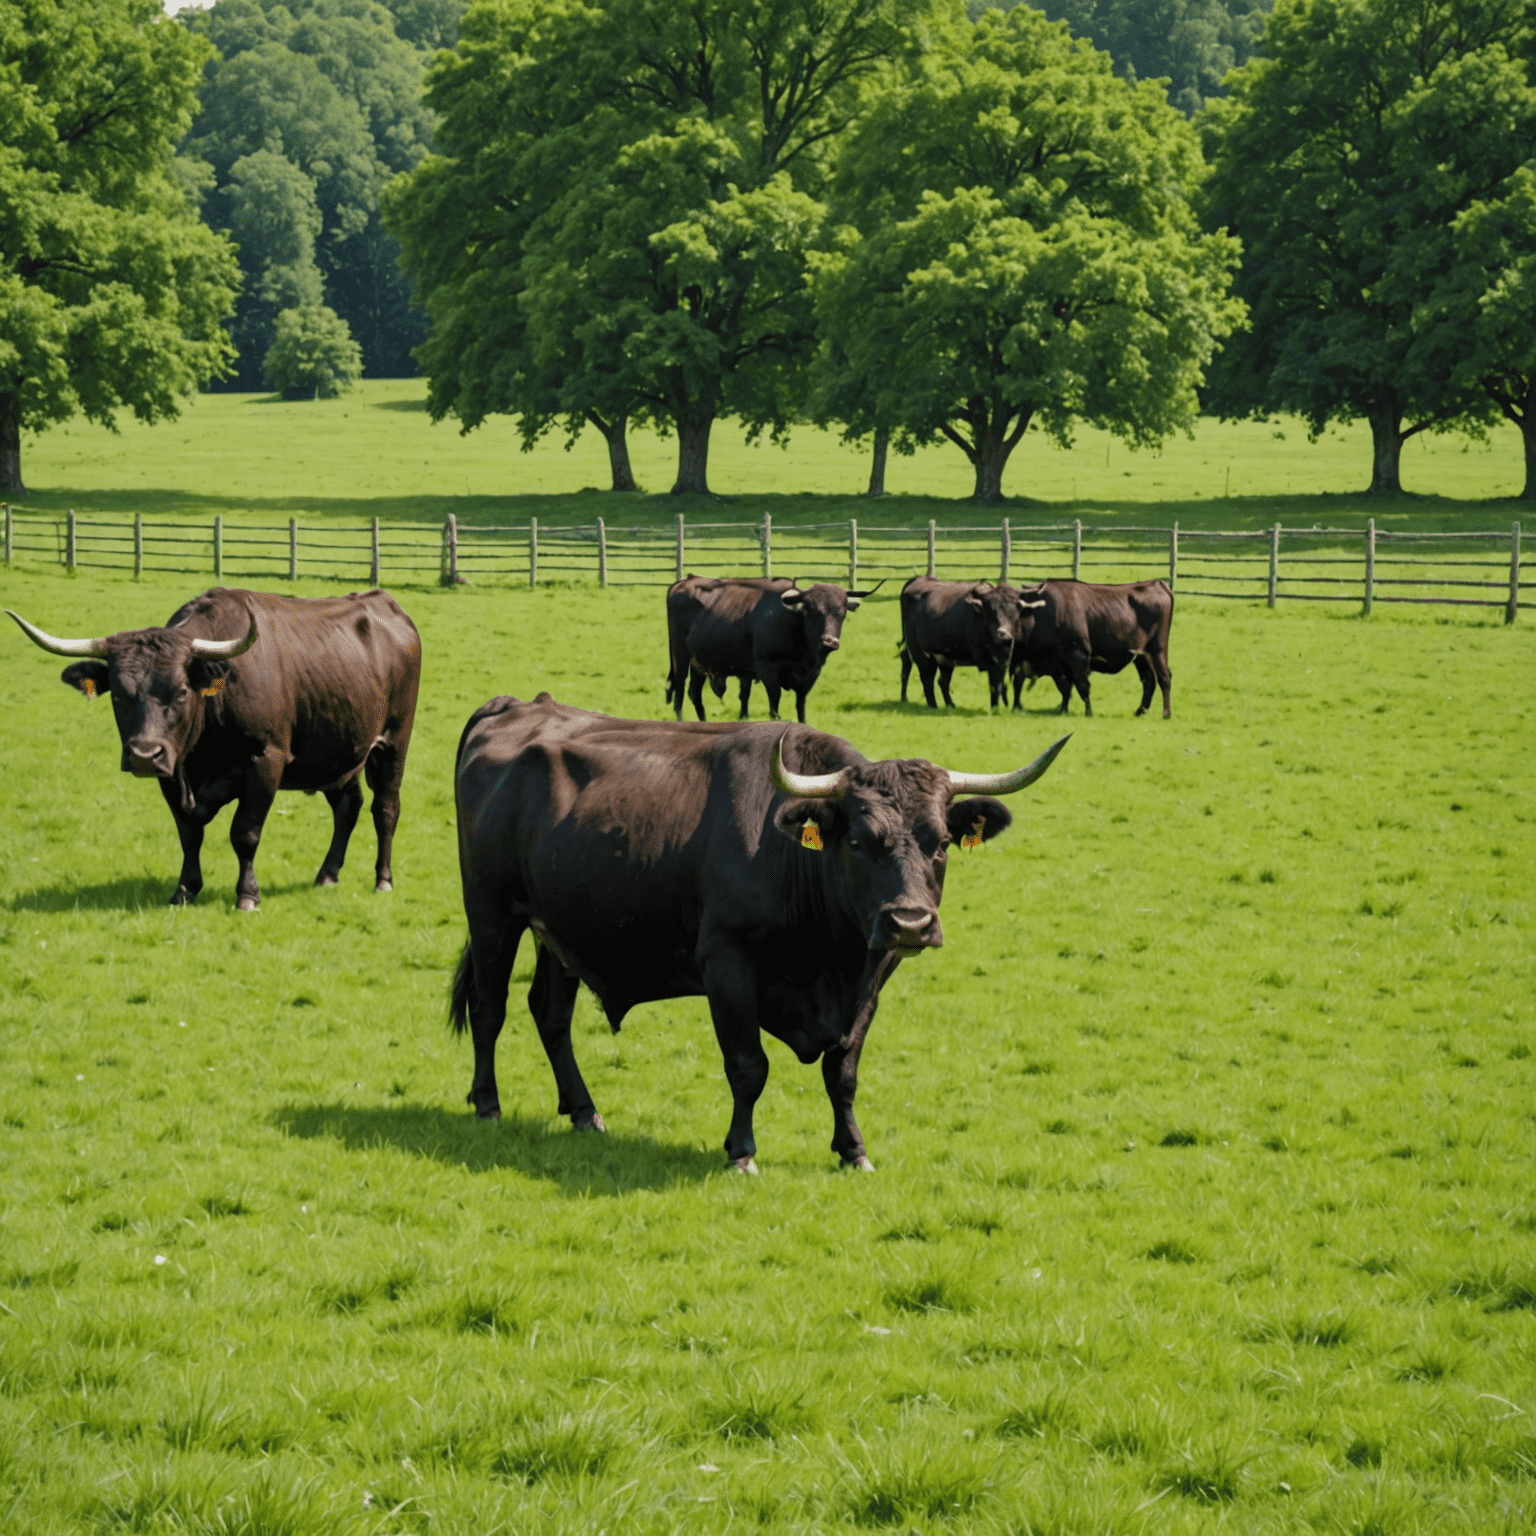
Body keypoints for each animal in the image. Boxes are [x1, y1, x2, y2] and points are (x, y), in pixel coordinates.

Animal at [10, 583, 427, 897]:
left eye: (181, 692)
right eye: (117, 694)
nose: (144, 754)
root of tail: (384, 603)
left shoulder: (266, 761)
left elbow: (245, 833)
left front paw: (247, 895)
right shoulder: (171, 771)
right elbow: (189, 834)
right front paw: (185, 890)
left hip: (393, 743)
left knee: (385, 808)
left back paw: (383, 879)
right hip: (337, 752)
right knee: (348, 806)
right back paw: (327, 873)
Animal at [445, 700, 1069, 1173]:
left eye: (940, 842)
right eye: (858, 841)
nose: (910, 922)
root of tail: (516, 707)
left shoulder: (872, 976)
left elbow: (842, 1072)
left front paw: (853, 1150)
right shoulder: (728, 965)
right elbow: (748, 1066)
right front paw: (741, 1152)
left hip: (560, 930)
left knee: (550, 1014)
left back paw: (582, 1110)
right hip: (491, 912)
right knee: (490, 1004)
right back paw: (487, 1102)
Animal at [660, 577, 878, 724]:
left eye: (841, 613)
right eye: (812, 611)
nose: (829, 642)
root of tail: (683, 582)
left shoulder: (809, 676)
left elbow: (801, 706)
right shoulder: (767, 668)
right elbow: (774, 703)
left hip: (699, 664)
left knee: (694, 693)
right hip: (681, 657)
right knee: (679, 691)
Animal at [897, 577, 1038, 709]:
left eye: (1015, 612)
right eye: (991, 611)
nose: (1003, 634)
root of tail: (918, 579)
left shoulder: (1003, 662)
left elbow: (998, 686)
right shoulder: (994, 662)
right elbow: (995, 686)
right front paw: (995, 709)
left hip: (945, 658)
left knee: (942, 681)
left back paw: (950, 704)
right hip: (920, 654)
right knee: (926, 678)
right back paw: (932, 705)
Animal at [1007, 577, 1173, 715]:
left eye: (1014, 610)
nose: (1003, 634)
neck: (1042, 613)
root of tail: (1158, 583)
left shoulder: (1077, 656)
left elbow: (1081, 685)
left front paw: (1088, 712)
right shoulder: (1060, 664)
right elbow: (1065, 687)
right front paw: (1063, 710)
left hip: (1158, 650)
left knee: (1164, 677)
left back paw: (1166, 713)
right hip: (1141, 656)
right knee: (1149, 679)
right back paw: (1140, 710)